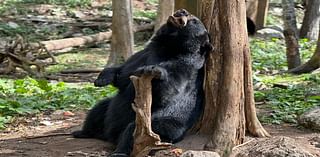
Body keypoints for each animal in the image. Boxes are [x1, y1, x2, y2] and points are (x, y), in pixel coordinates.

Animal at [72, 9, 212, 156]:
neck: (171, 47)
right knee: (98, 109)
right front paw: (101, 79)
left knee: (134, 132)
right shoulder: (145, 54)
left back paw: (120, 151)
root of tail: (111, 136)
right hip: (108, 109)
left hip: (164, 123)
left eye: (194, 21)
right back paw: (83, 132)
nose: (183, 11)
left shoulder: (186, 67)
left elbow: (169, 91)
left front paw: (155, 71)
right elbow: (123, 74)